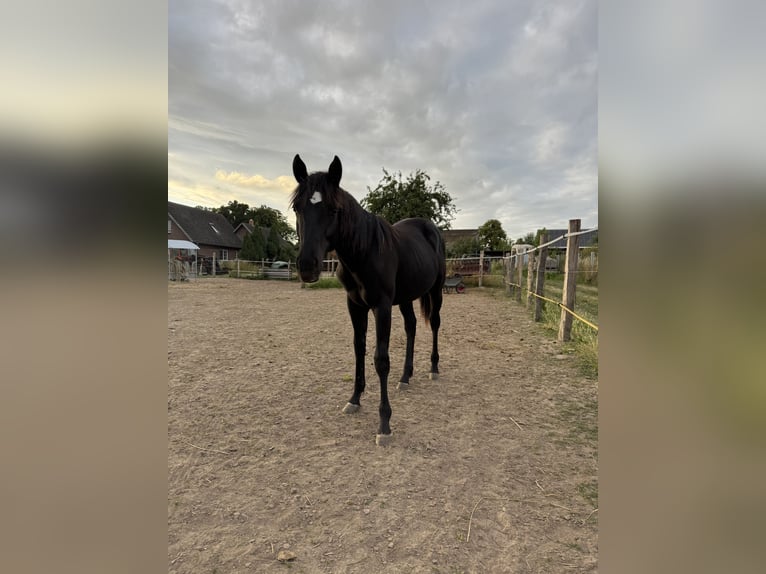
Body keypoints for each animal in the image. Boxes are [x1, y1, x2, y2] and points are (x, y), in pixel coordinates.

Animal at [291, 155, 446, 446]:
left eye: (334, 210)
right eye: (297, 208)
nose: (307, 266)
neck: (364, 251)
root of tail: (430, 228)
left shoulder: (381, 307)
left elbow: (380, 359)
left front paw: (384, 423)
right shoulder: (355, 305)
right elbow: (359, 348)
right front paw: (354, 399)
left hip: (436, 291)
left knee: (435, 324)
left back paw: (433, 368)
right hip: (406, 297)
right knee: (411, 327)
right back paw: (405, 376)